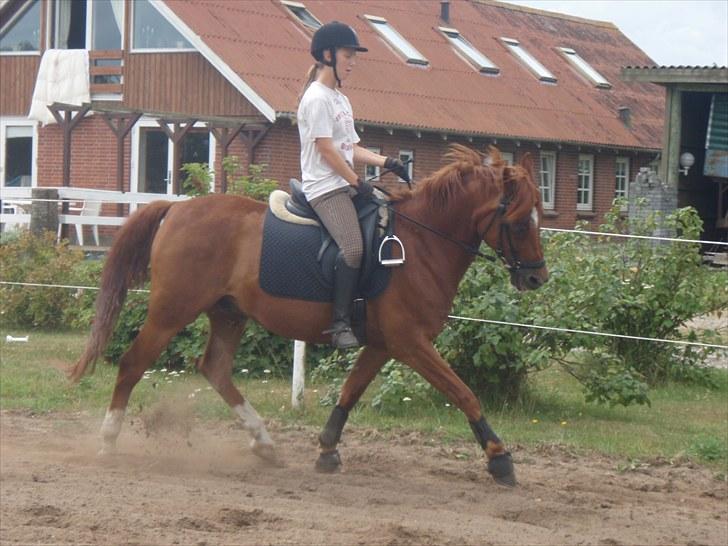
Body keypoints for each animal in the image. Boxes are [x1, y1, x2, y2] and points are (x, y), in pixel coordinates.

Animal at [69, 144, 544, 484]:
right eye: (521, 223)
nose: (536, 277)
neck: (423, 243)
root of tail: (178, 208)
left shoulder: (384, 343)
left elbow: (349, 392)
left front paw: (327, 450)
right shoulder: (410, 342)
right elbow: (463, 392)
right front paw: (500, 458)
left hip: (229, 313)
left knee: (215, 368)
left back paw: (264, 443)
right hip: (172, 310)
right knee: (133, 363)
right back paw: (108, 442)